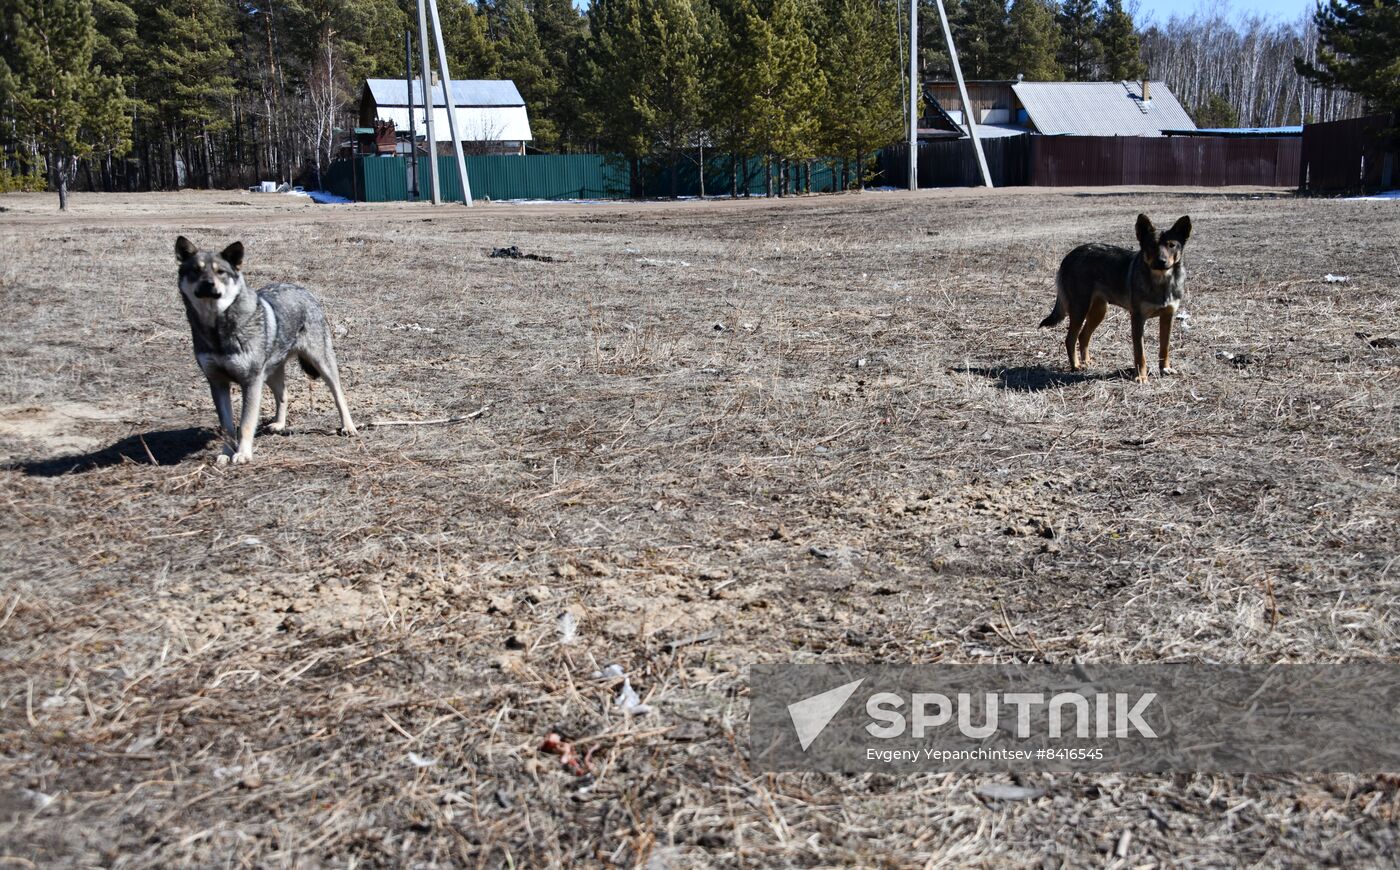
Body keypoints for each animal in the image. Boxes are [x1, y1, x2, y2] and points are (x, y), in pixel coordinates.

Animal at [174, 233, 355, 456]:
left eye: (220, 272)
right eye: (195, 271)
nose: (208, 283)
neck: (217, 329)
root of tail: (303, 289)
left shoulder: (251, 381)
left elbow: (245, 423)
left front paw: (243, 454)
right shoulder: (218, 382)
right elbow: (227, 426)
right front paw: (226, 454)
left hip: (321, 365)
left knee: (339, 395)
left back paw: (348, 427)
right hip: (270, 374)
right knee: (284, 394)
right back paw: (279, 424)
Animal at [1041, 212, 1192, 381]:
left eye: (1171, 245)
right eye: (1152, 245)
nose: (1161, 261)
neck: (1162, 282)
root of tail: (1069, 255)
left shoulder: (1168, 316)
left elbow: (1164, 348)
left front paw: (1165, 369)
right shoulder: (1138, 319)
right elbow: (1140, 354)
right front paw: (1141, 377)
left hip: (1099, 312)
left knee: (1083, 336)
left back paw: (1087, 362)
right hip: (1080, 309)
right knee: (1070, 339)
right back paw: (1076, 366)